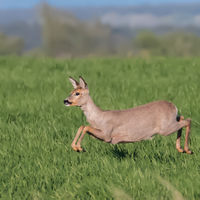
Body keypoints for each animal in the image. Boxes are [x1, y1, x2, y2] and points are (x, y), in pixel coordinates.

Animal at [63, 76, 193, 155]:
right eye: (70, 92)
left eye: (77, 93)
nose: (65, 101)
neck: (98, 118)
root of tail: (173, 106)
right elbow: (83, 126)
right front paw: (76, 147)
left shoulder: (107, 134)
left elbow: (85, 127)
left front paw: (79, 148)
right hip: (170, 122)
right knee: (182, 118)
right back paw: (180, 149)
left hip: (165, 128)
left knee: (188, 120)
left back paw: (187, 150)